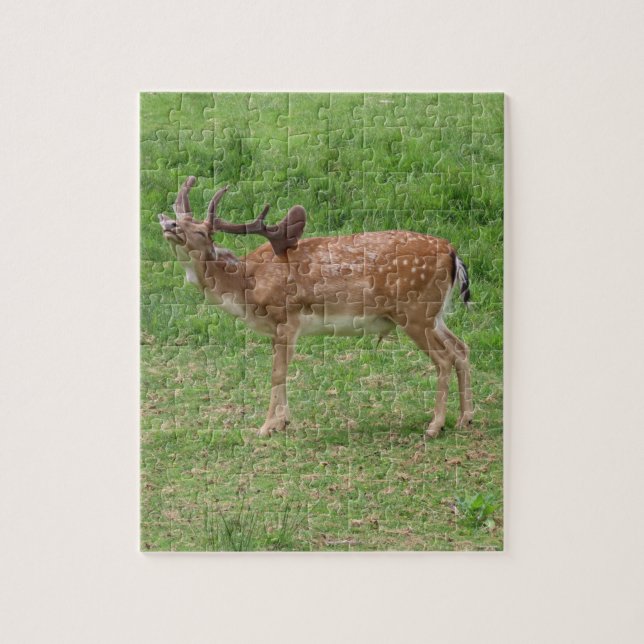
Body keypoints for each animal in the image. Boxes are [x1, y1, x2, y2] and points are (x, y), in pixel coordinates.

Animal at [158, 176, 474, 438]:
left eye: (202, 232)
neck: (246, 287)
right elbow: (279, 371)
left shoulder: (286, 317)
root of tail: (452, 252)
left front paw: (267, 426)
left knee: (444, 358)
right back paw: (465, 419)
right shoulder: (277, 330)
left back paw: (435, 426)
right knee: (461, 347)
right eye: (178, 220)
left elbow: (277, 373)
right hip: (434, 313)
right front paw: (282, 422)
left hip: (415, 311)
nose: (169, 225)